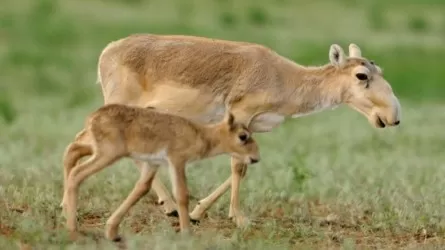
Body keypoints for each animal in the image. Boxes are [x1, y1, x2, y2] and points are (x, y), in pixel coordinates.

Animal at [95, 34, 400, 228]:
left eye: (380, 70)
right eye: (361, 75)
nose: (394, 116)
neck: (284, 77)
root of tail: (107, 51)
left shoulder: (252, 127)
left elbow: (243, 167)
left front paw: (197, 212)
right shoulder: (240, 116)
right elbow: (237, 166)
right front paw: (239, 218)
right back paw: (169, 205)